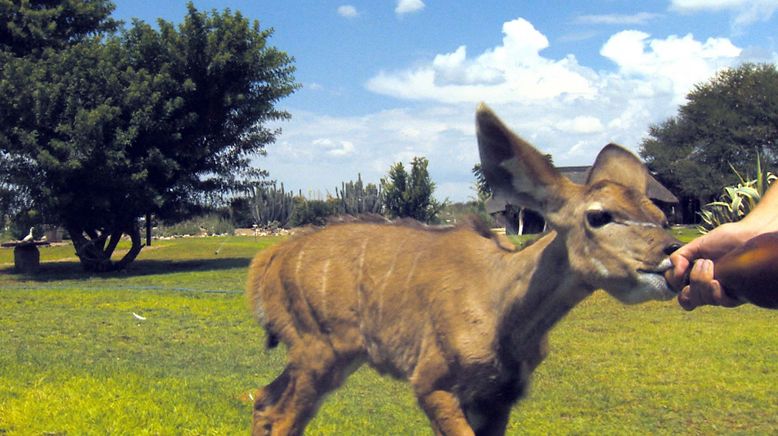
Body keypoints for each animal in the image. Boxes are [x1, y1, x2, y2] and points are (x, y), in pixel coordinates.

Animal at [247, 104, 680, 434]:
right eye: (599, 215)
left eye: (661, 217)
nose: (673, 253)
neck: (500, 303)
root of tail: (269, 261)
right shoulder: (431, 383)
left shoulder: (499, 397)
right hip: (318, 351)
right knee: (282, 417)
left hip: (329, 356)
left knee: (264, 402)